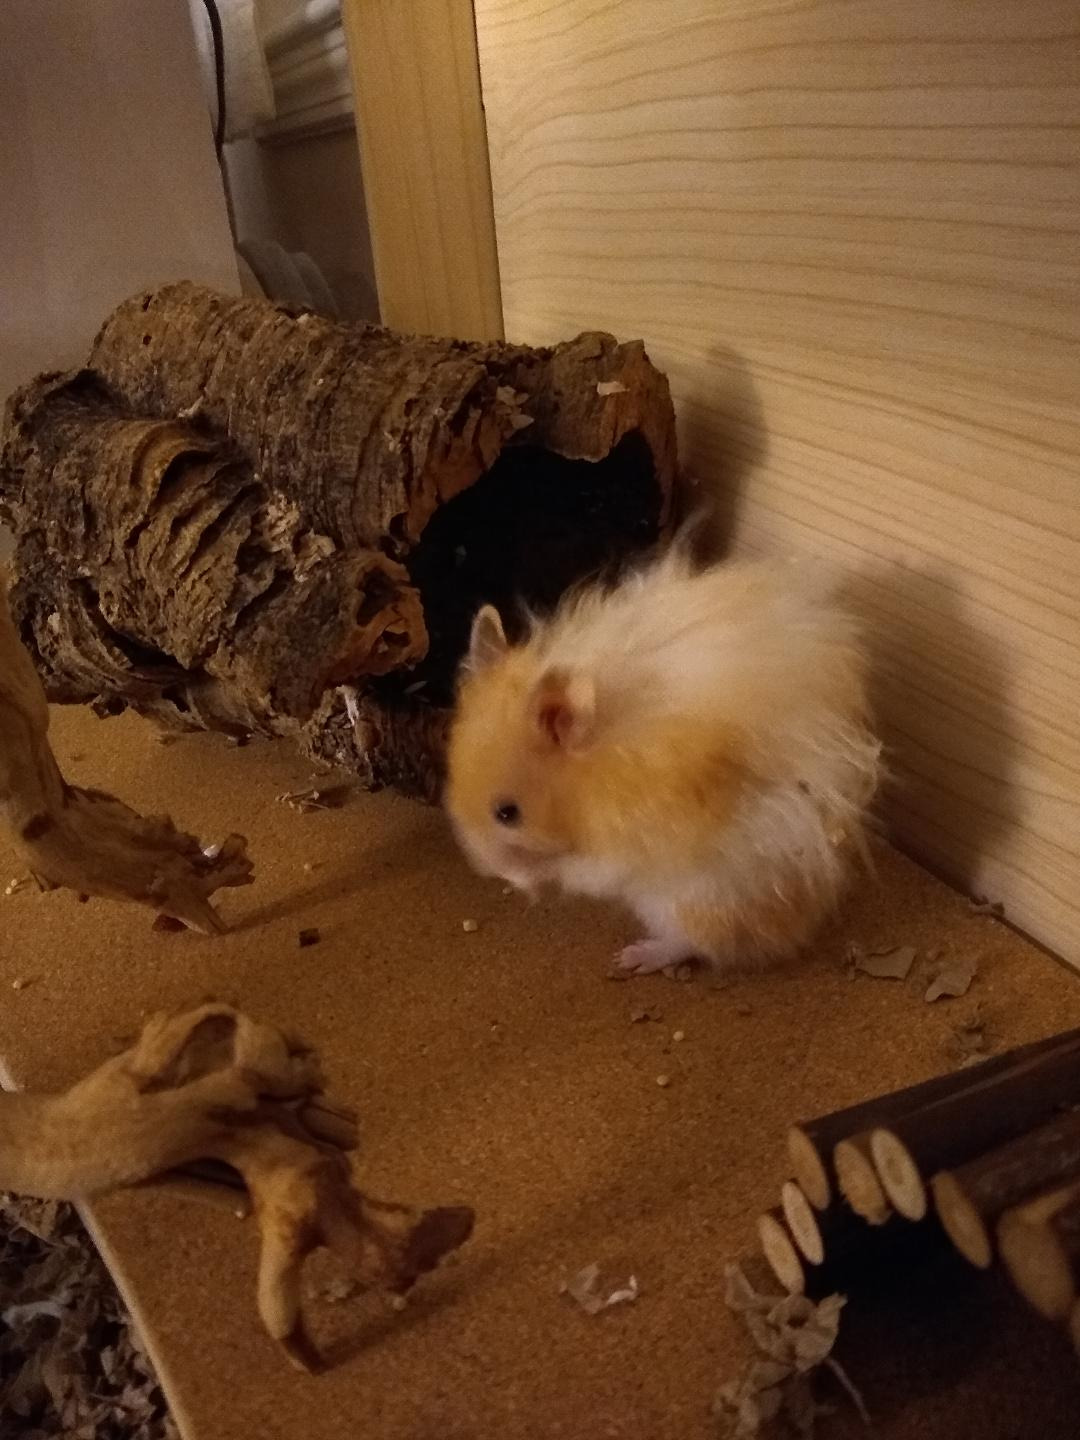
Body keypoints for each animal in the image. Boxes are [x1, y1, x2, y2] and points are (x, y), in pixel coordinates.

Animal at [445, 547, 881, 975]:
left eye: (508, 814)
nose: (486, 870)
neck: (586, 781)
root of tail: (809, 918)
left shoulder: (617, 852)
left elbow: (573, 869)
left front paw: (527, 883)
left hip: (693, 898)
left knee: (694, 942)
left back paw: (633, 958)